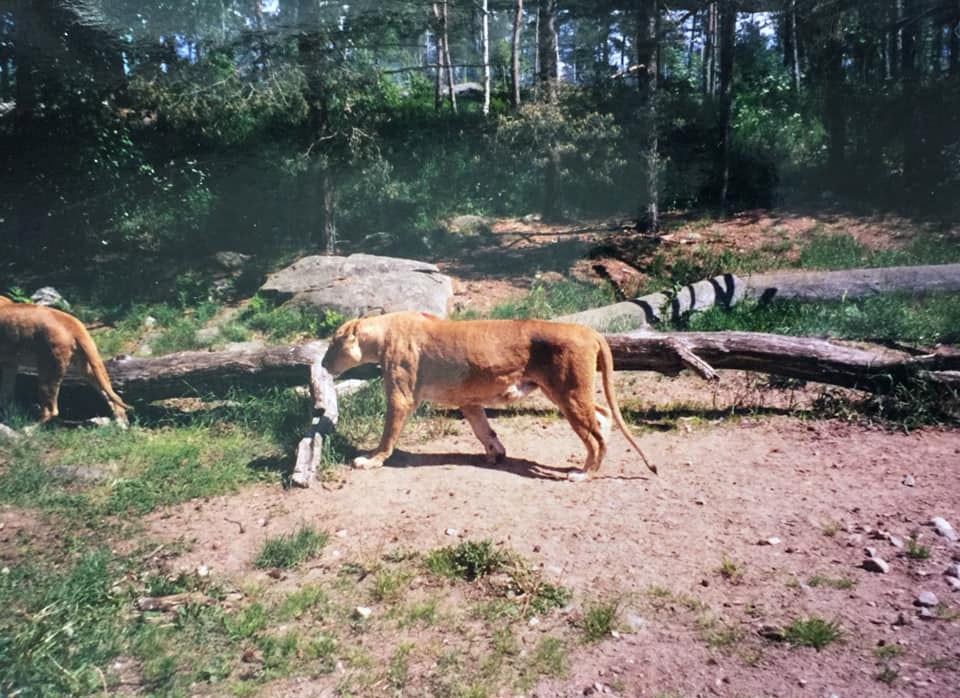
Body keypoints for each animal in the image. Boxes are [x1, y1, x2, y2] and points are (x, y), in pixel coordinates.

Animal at [0, 297, 130, 424]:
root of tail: (73, 323)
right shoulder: (9, 363)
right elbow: (6, 391)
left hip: (48, 367)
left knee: (51, 410)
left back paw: (28, 427)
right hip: (87, 367)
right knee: (113, 396)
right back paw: (122, 423)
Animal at [321, 311, 655, 479]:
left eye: (333, 344)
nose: (322, 364)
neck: (381, 334)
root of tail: (588, 330)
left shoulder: (400, 398)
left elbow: (387, 434)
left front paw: (371, 460)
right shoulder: (469, 402)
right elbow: (484, 430)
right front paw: (497, 453)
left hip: (569, 393)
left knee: (594, 435)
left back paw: (585, 473)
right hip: (570, 393)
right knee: (603, 414)